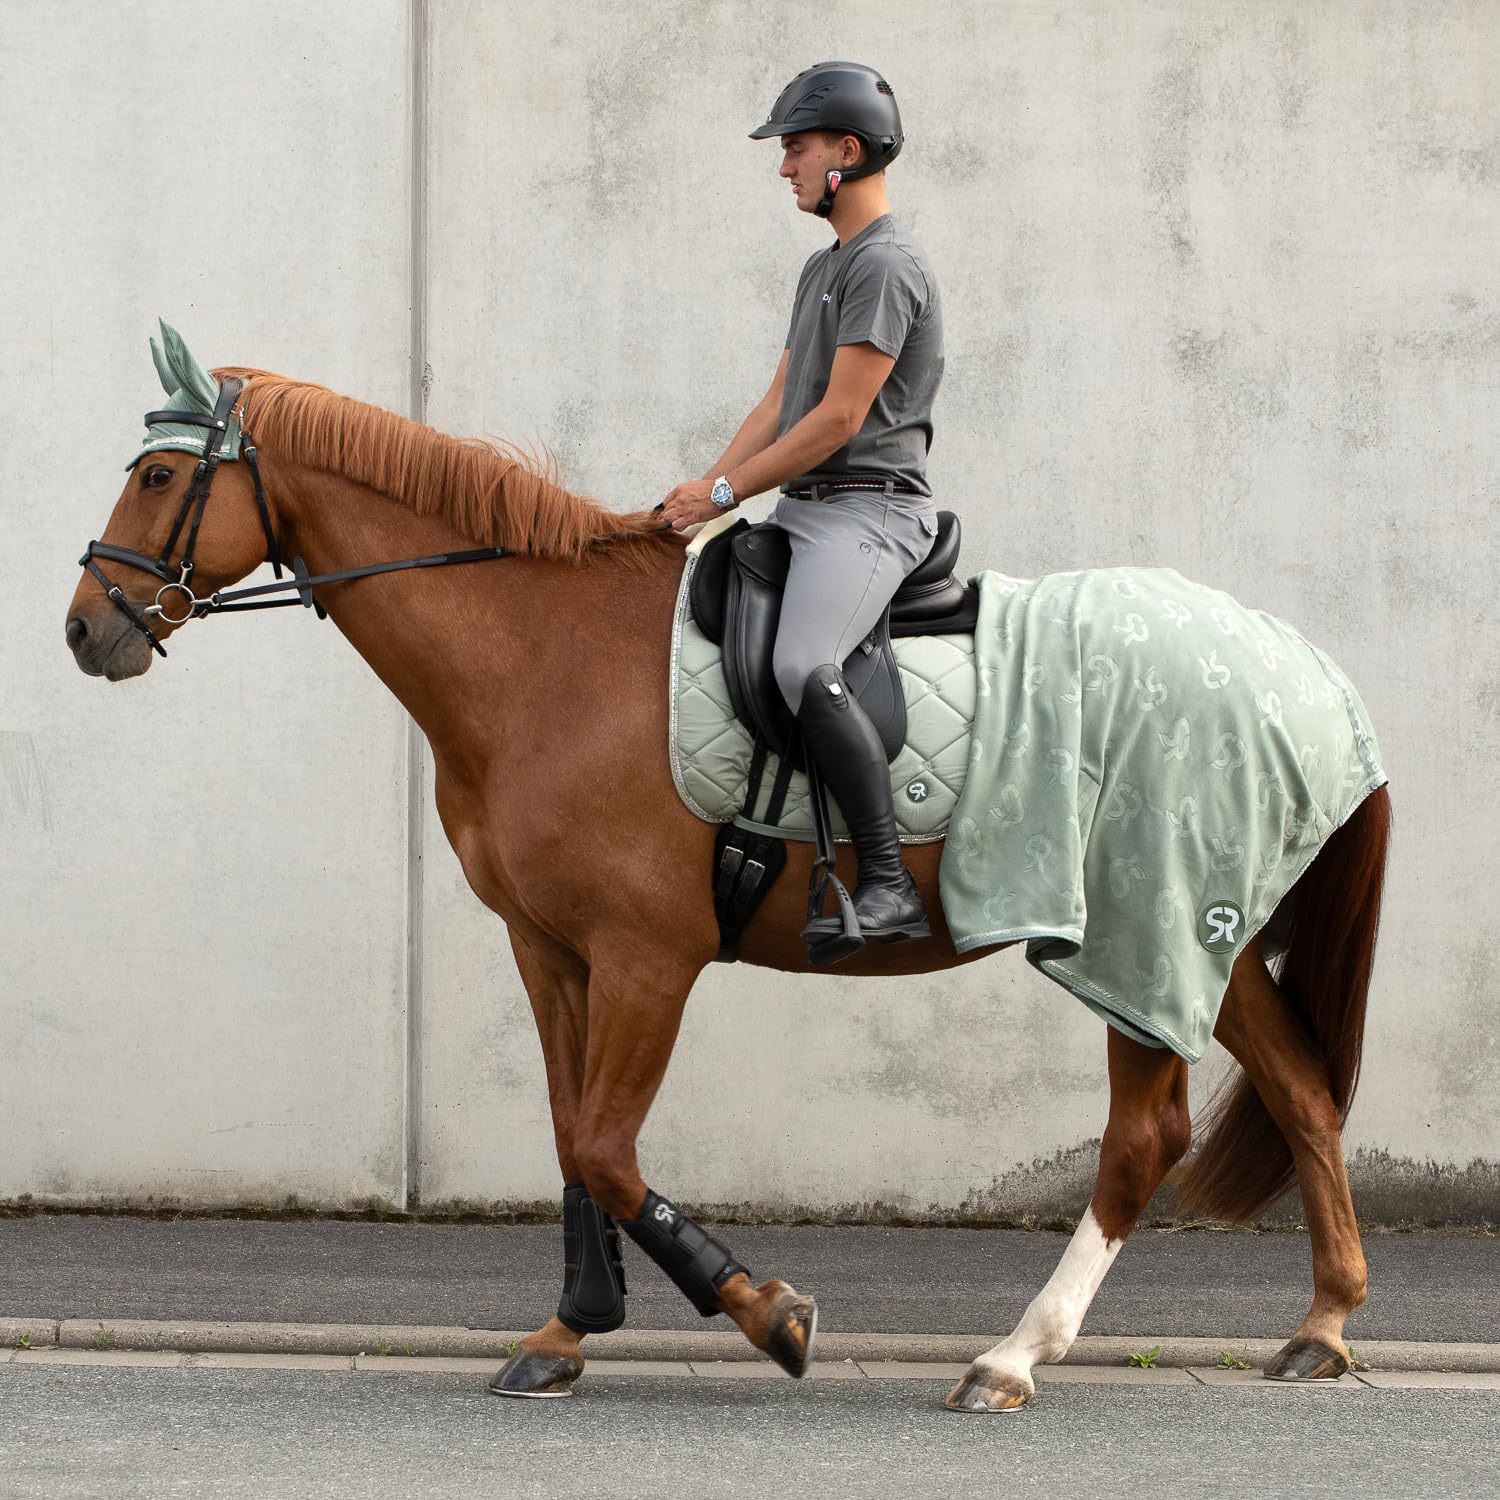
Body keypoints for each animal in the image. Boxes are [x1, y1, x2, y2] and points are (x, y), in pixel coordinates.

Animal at [66, 341, 1391, 1412]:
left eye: (161, 478)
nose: (88, 627)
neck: (542, 655)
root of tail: (1297, 663)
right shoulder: (550, 947)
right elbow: (572, 1136)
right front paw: (567, 1332)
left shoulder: (650, 955)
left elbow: (608, 1144)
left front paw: (768, 1314)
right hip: (1209, 933)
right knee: (1302, 1092)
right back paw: (1321, 1327)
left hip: (1136, 926)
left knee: (1145, 1137)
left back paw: (1012, 1358)